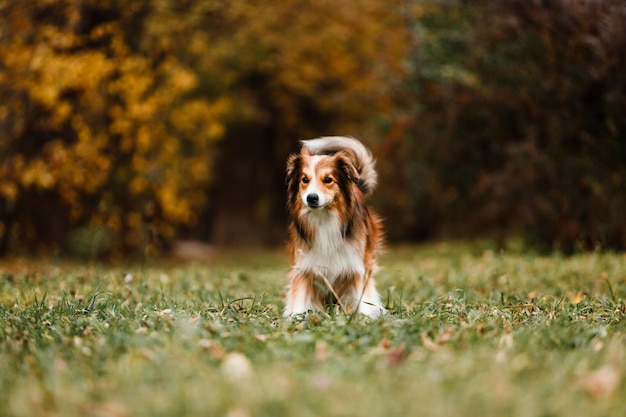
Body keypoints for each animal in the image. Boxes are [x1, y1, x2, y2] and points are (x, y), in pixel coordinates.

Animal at [282, 136, 382, 316]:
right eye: (304, 180)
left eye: (328, 180)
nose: (311, 198)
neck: (324, 218)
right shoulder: (305, 266)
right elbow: (300, 295)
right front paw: (296, 316)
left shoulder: (355, 265)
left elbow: (362, 295)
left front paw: (365, 316)